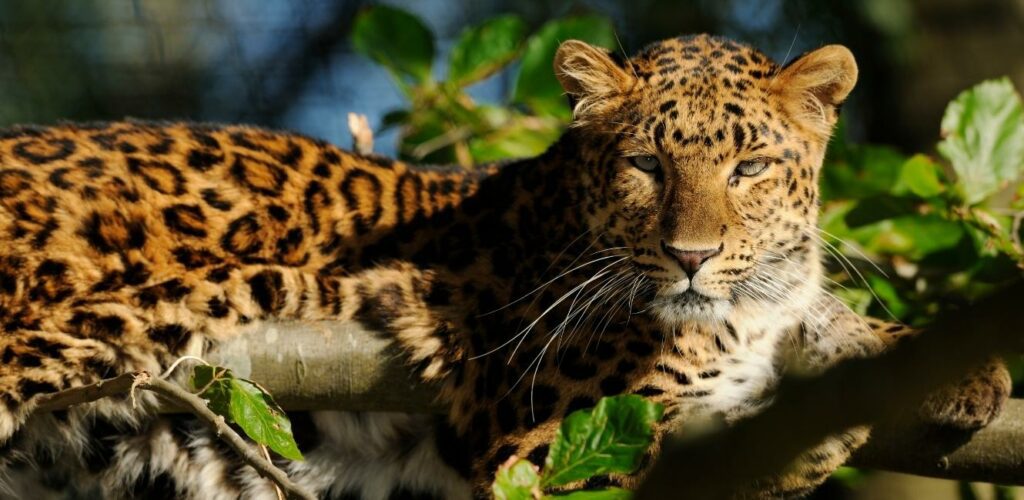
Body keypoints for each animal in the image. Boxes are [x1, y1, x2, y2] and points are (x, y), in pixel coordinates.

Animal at [0, 34, 1011, 499]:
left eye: (751, 168)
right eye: (645, 165)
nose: (690, 257)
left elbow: (826, 314)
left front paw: (954, 365)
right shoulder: (535, 433)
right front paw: (800, 444)